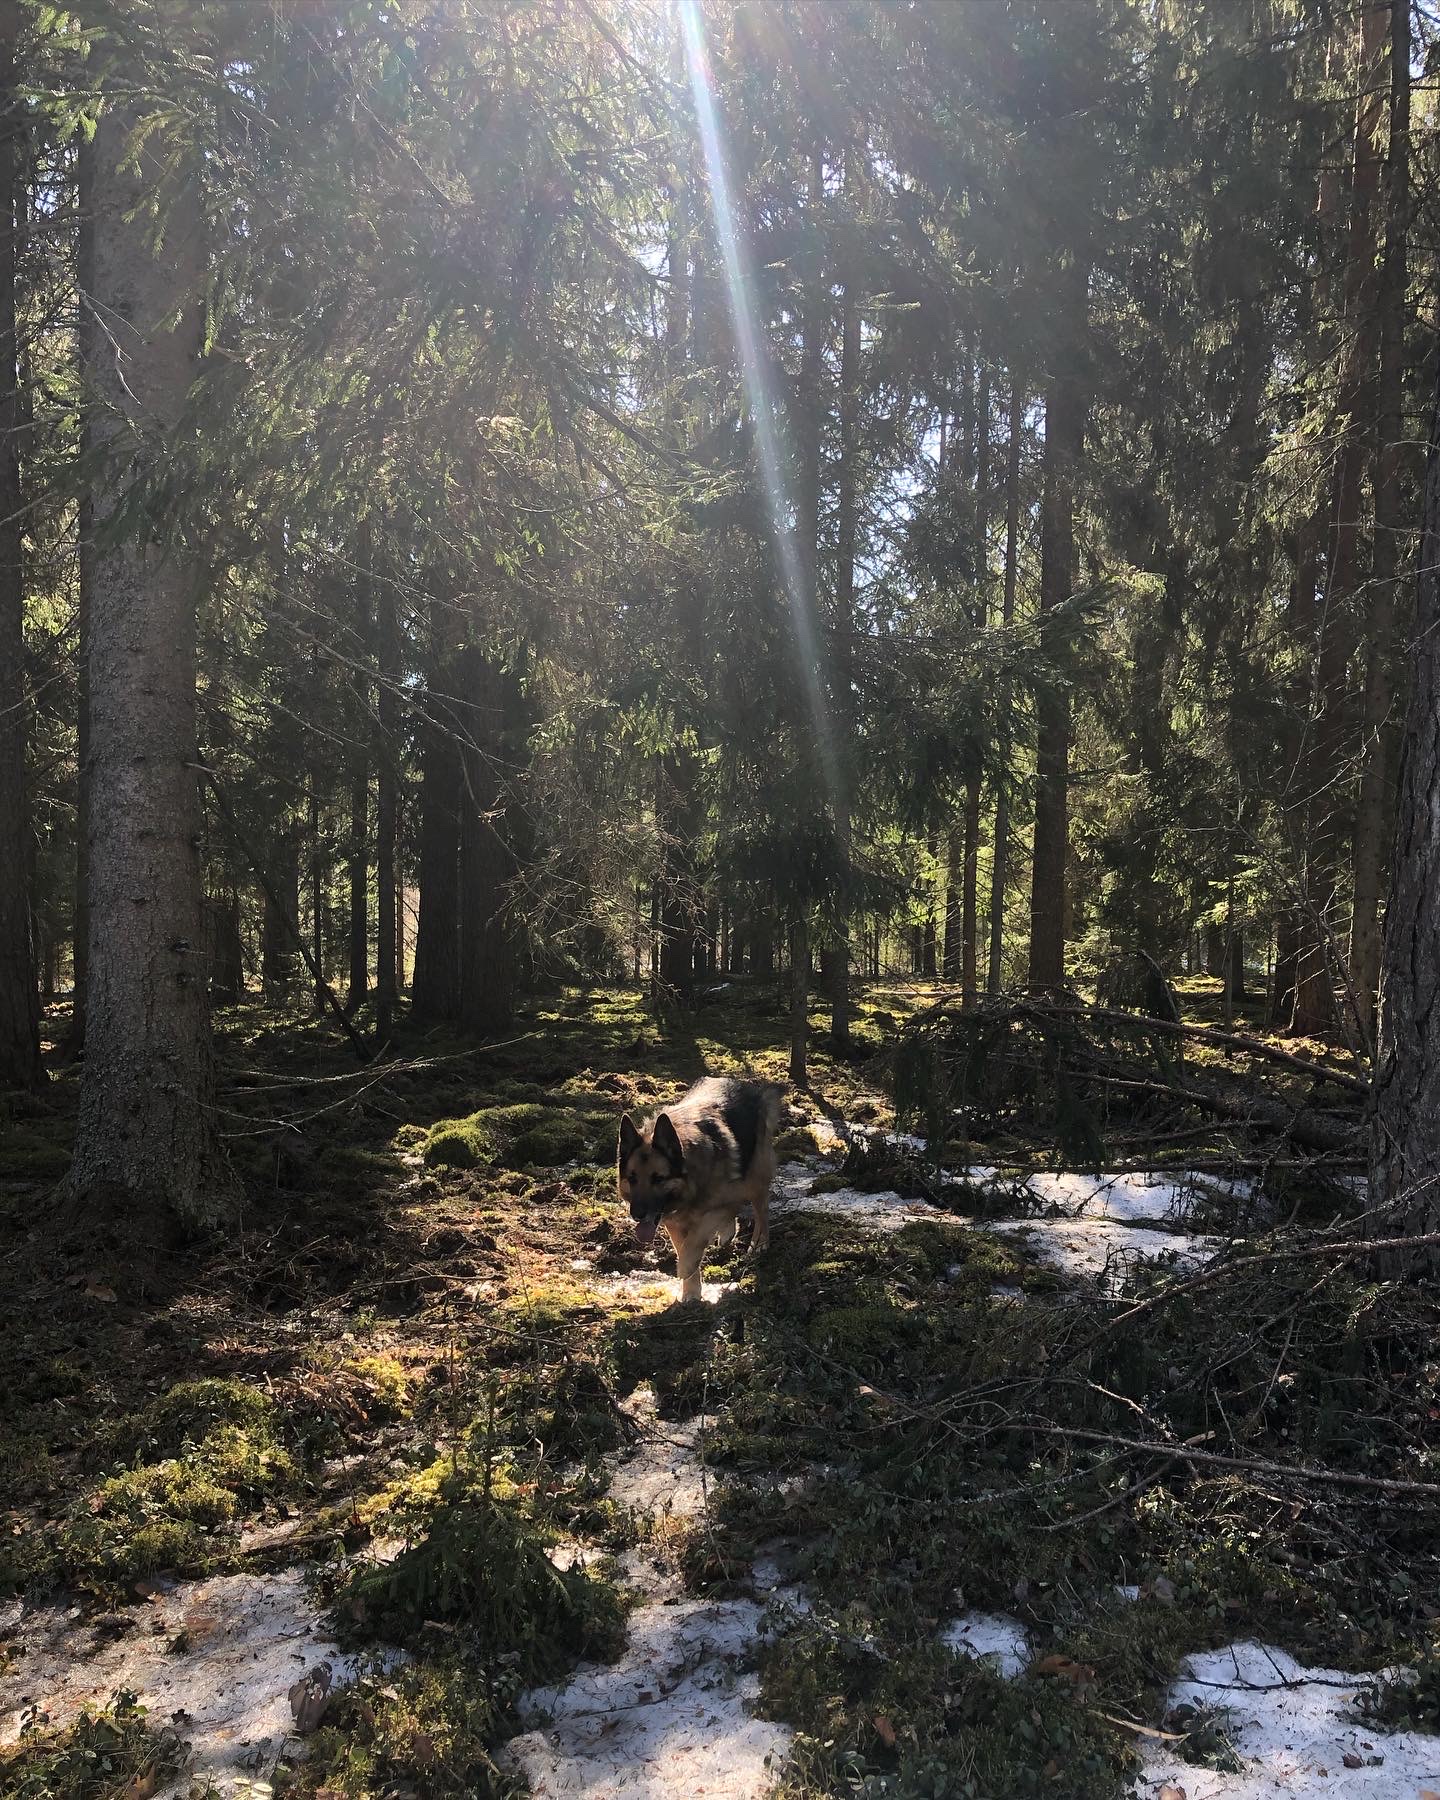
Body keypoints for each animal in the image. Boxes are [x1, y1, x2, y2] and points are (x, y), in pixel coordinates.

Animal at [612, 1072, 781, 1303]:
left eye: (658, 1179)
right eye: (632, 1178)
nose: (637, 1215)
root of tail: (748, 1086)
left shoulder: (725, 1201)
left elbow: (696, 1238)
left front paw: (686, 1267)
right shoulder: (674, 1223)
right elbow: (684, 1246)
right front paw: (691, 1291)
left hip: (756, 1180)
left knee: (761, 1212)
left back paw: (759, 1244)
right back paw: (728, 1233)